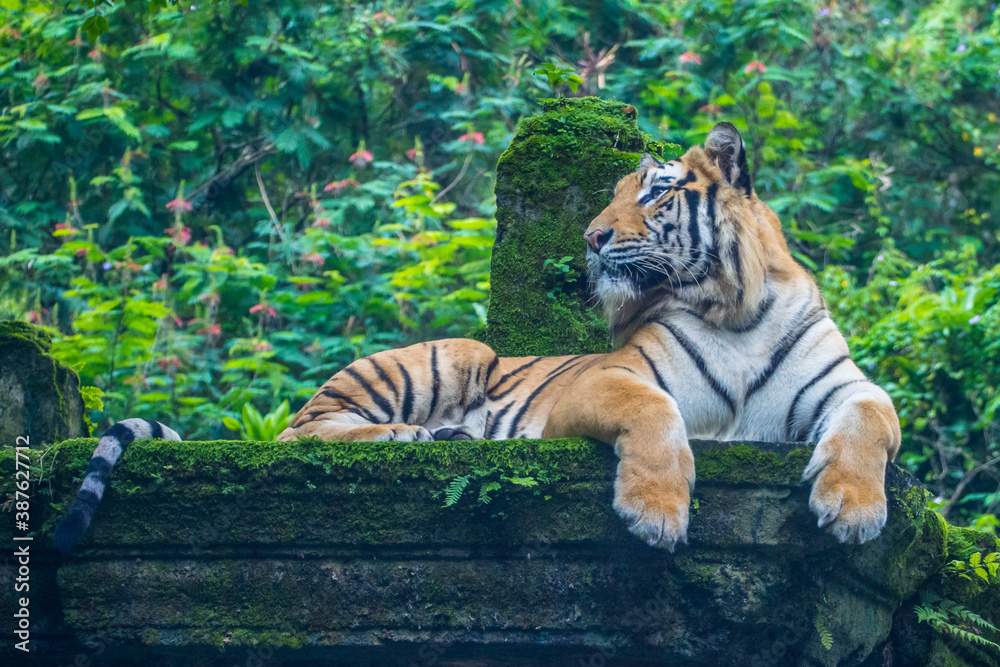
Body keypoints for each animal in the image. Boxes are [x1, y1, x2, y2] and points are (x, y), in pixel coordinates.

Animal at [52, 122, 900, 556]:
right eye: (613, 194)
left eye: (655, 193)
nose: (591, 238)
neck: (733, 310)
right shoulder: (609, 380)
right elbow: (658, 416)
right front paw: (655, 513)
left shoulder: (845, 386)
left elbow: (873, 416)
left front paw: (855, 510)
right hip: (446, 356)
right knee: (300, 433)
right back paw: (414, 436)